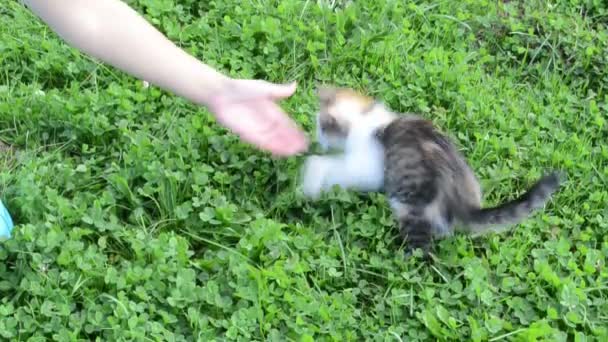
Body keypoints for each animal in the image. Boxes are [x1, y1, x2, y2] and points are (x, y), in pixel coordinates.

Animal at [302, 86, 564, 254]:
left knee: (423, 250)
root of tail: (464, 205)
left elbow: (331, 166)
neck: (364, 119)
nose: (317, 140)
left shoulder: (367, 165)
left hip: (410, 205)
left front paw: (310, 178)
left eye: (322, 128)